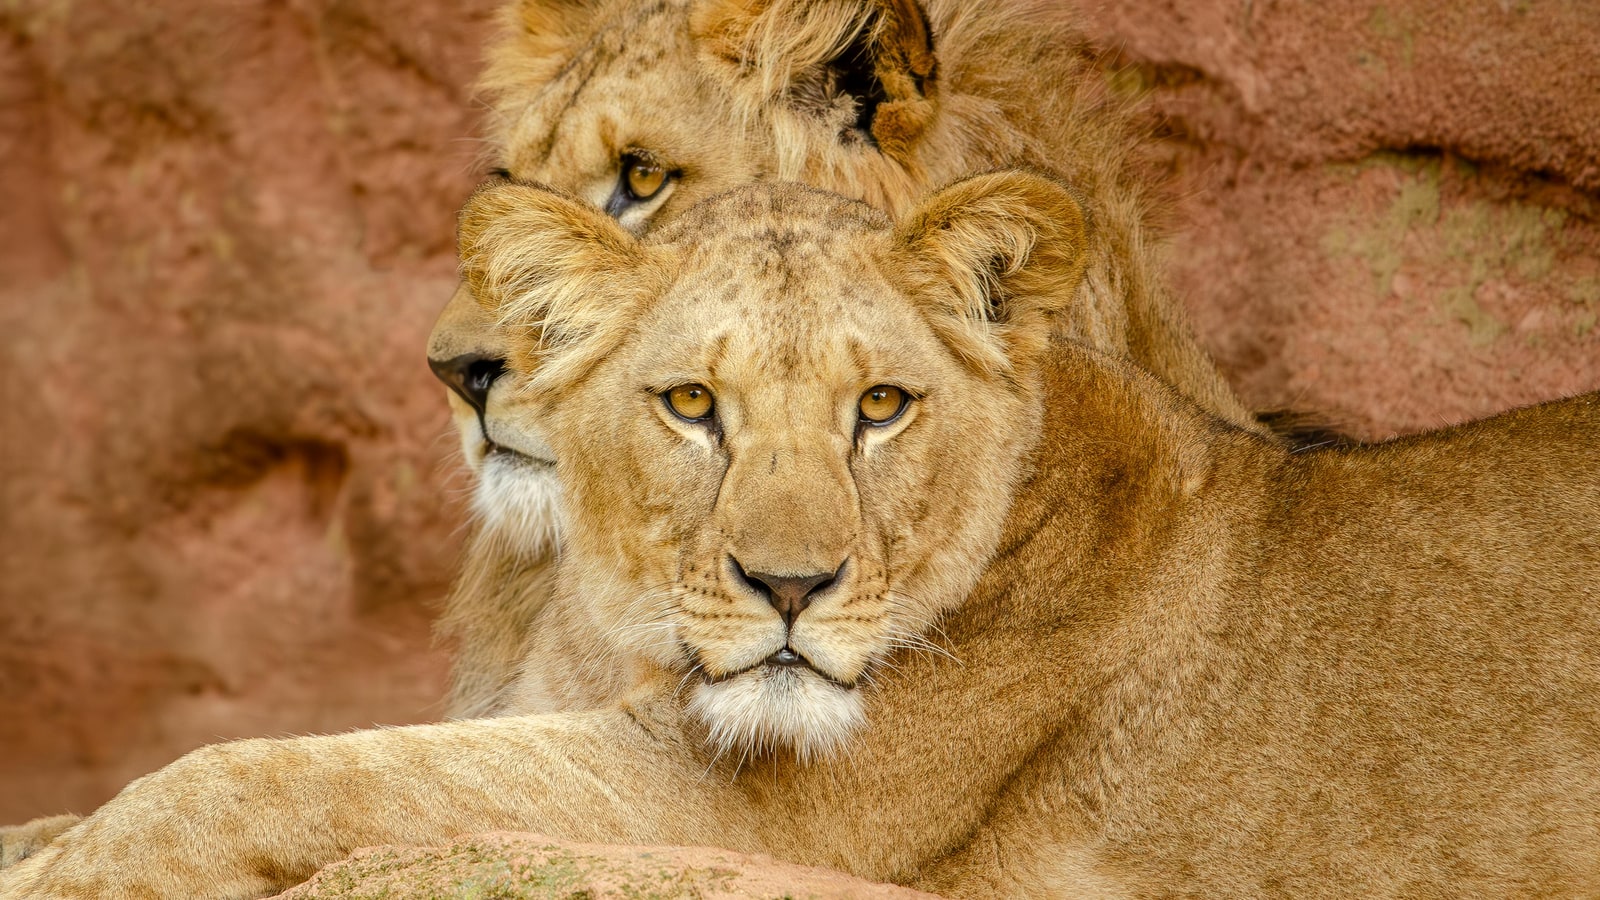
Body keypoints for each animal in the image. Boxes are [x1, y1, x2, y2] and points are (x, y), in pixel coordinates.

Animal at [6, 172, 1598, 899]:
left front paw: (85, 866)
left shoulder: (766, 819)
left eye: (879, 405)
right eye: (691, 404)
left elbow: (293, 766)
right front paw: (52, 836)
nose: (789, 587)